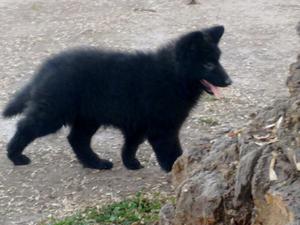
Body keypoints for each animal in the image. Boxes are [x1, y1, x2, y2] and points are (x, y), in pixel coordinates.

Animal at [2, 25, 232, 171]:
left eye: (219, 60)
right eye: (208, 65)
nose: (229, 81)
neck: (172, 76)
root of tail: (47, 66)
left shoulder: (139, 124)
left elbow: (131, 144)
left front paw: (130, 163)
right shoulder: (163, 128)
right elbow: (171, 152)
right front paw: (177, 171)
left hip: (88, 117)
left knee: (76, 139)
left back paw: (96, 163)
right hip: (55, 111)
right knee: (26, 126)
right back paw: (15, 156)